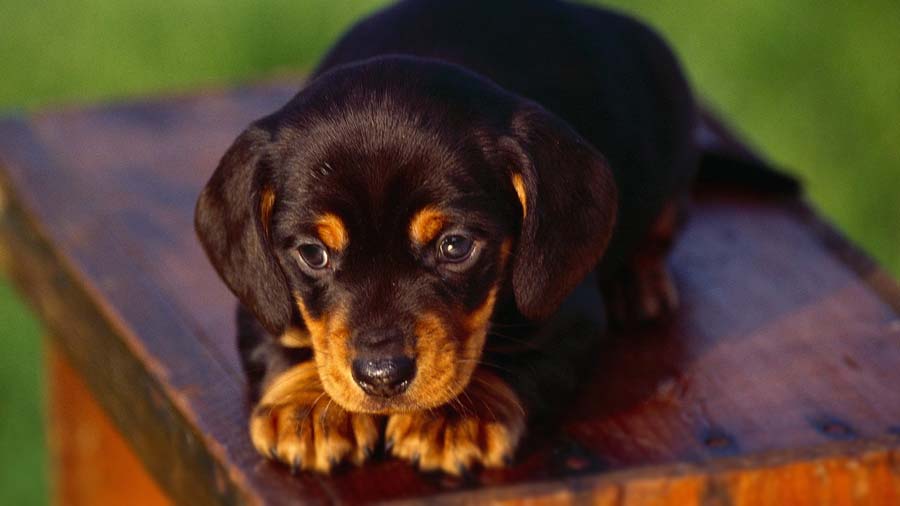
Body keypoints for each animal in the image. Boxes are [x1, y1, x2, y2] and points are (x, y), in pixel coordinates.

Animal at [195, 0, 704, 474]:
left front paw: (457, 416)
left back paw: (637, 283)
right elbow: (278, 335)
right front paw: (309, 406)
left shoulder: (567, 310)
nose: (382, 376)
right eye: (312, 253)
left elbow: (521, 354)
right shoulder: (261, 291)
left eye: (455, 246)